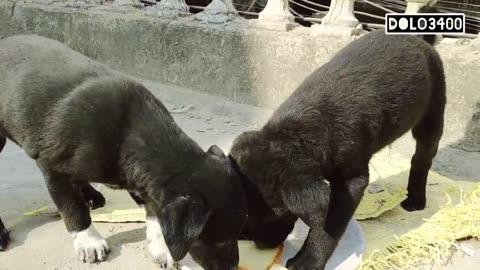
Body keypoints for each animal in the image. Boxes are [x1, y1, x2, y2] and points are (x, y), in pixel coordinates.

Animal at [0, 34, 248, 268]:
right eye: (221, 240)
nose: (233, 266)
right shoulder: (53, 169)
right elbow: (73, 209)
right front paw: (89, 242)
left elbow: (154, 211)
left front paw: (162, 247)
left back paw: (90, 194)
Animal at [229, 28, 446, 270]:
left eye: (278, 214)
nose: (260, 245)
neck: (298, 134)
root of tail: (417, 38)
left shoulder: (351, 181)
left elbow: (327, 226)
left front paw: (308, 260)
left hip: (433, 110)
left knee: (422, 157)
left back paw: (416, 198)